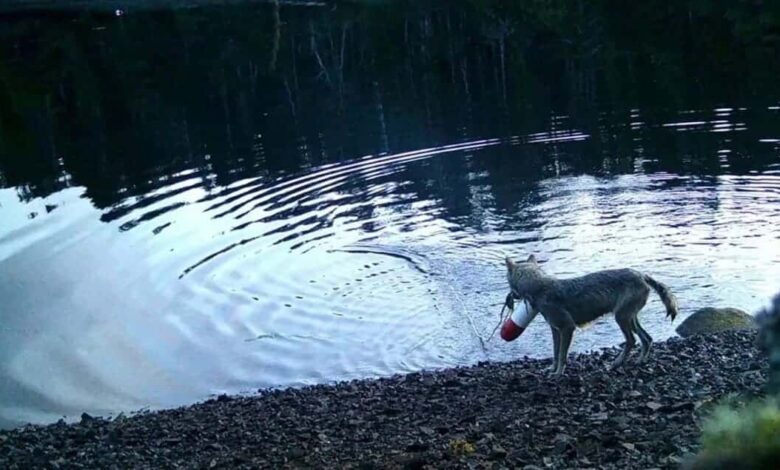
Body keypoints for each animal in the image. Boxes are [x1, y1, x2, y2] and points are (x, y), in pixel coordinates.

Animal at [505, 255, 679, 375]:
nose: (510, 298)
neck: (540, 288)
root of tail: (642, 275)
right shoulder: (555, 330)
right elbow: (555, 353)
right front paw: (551, 370)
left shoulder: (567, 328)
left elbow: (562, 355)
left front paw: (558, 374)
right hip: (630, 318)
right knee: (647, 339)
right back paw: (639, 361)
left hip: (621, 318)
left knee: (632, 340)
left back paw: (616, 363)